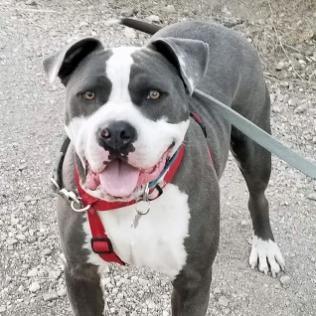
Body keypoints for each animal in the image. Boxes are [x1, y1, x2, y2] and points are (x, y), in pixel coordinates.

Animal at [43, 18, 284, 314]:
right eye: (88, 95)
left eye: (154, 94)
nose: (116, 132)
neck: (135, 201)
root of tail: (220, 27)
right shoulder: (80, 273)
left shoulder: (193, 279)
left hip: (255, 145)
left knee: (258, 195)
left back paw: (265, 246)